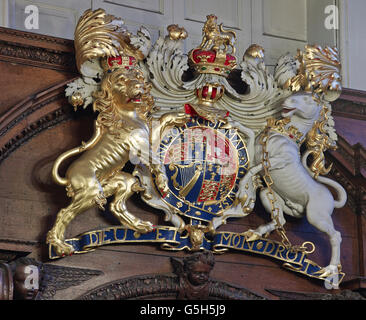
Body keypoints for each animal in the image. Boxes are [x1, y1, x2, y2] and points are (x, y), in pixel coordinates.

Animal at [46, 69, 187, 256]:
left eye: (137, 77)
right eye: (121, 81)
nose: (140, 86)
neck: (128, 115)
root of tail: (68, 175)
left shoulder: (148, 136)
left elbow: (161, 123)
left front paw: (178, 116)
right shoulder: (140, 145)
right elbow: (156, 162)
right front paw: (163, 184)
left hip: (120, 182)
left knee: (116, 206)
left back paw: (140, 226)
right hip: (91, 191)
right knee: (64, 213)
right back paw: (60, 245)